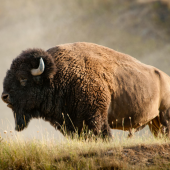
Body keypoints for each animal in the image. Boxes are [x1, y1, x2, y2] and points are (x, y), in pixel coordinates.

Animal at [1, 42, 170, 138]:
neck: (58, 74)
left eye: (23, 78)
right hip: (154, 122)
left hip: (164, 117)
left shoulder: (96, 117)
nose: (4, 96)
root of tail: (165, 77)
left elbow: (102, 134)